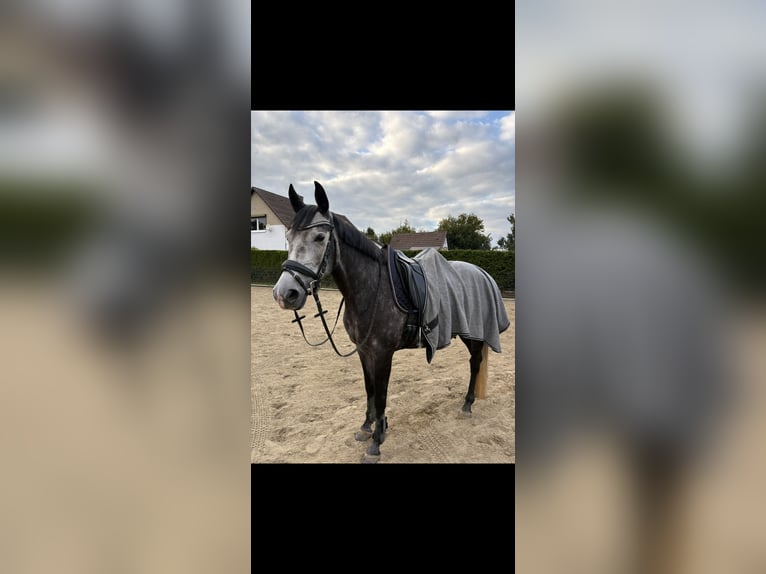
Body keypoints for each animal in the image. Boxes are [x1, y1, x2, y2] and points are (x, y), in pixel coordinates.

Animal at [272, 181, 510, 463]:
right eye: (288, 238)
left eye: (320, 237)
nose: (285, 294)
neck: (371, 288)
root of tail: (482, 272)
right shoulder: (364, 351)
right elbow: (370, 390)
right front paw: (367, 427)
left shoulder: (383, 353)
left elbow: (382, 396)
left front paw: (376, 443)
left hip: (473, 333)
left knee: (475, 363)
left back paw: (467, 404)